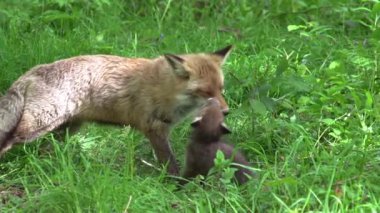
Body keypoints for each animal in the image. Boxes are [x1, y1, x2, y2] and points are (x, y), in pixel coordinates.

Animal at [0, 45, 233, 175]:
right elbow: (170, 163)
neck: (167, 89)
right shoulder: (154, 129)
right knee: (9, 139)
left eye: (221, 89)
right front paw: (174, 184)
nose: (226, 111)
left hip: (67, 128)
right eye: (205, 91)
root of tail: (34, 70)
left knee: (48, 149)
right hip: (37, 125)